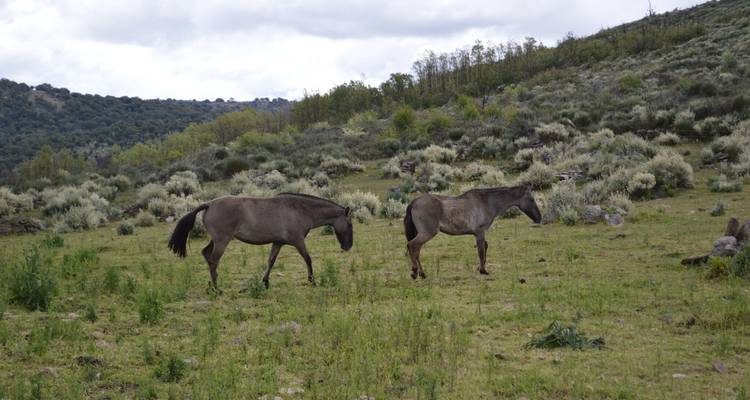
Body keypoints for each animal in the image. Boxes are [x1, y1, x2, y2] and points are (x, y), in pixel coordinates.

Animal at [168, 193, 353, 290]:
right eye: (350, 224)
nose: (348, 246)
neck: (300, 210)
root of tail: (209, 204)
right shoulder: (298, 241)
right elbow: (308, 259)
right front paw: (312, 281)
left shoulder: (278, 242)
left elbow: (271, 261)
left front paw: (265, 282)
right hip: (222, 240)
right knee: (213, 260)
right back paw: (216, 289)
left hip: (216, 240)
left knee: (206, 255)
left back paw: (212, 285)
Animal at [403, 186, 541, 279]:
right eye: (532, 199)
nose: (539, 218)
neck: (487, 202)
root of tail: (414, 202)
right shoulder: (480, 232)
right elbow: (481, 250)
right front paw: (483, 270)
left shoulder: (480, 233)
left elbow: (485, 247)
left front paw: (480, 268)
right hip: (427, 233)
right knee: (412, 246)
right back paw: (415, 272)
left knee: (416, 250)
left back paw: (421, 273)